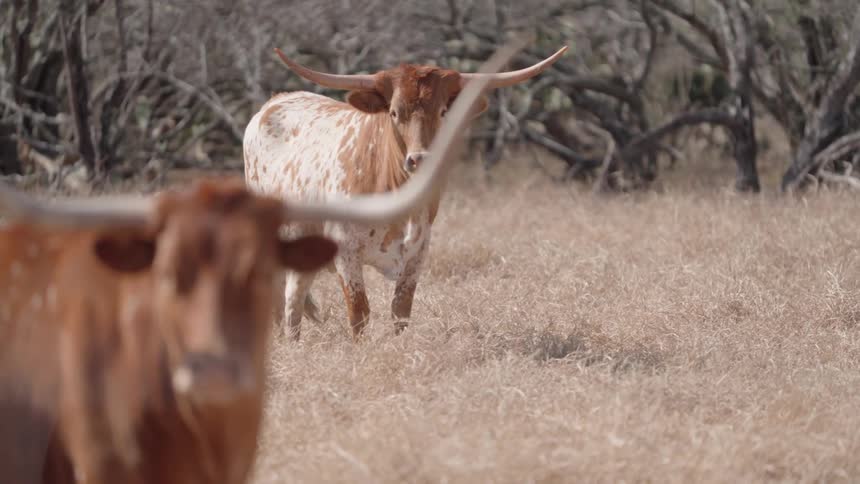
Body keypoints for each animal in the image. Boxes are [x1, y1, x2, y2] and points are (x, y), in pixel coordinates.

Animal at [0, 42, 520, 484]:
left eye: (442, 112)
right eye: (394, 112)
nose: (420, 160)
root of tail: (276, 100)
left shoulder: (417, 256)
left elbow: (399, 316)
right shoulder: (345, 251)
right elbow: (360, 314)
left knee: (294, 292)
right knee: (285, 299)